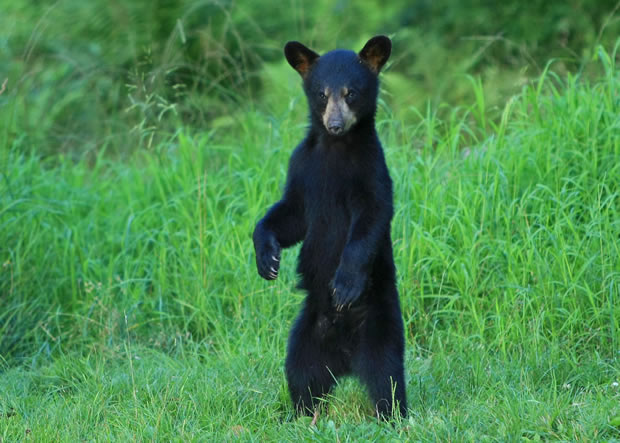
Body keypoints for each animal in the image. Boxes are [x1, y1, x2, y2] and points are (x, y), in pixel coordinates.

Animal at [252, 35, 406, 420]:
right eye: (322, 93)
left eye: (351, 92)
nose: (335, 124)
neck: (336, 148)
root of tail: (347, 361)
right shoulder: (303, 167)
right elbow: (291, 214)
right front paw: (267, 259)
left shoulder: (371, 170)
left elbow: (371, 218)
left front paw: (345, 284)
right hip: (306, 335)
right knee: (300, 374)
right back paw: (302, 414)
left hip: (381, 325)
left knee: (387, 376)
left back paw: (394, 416)